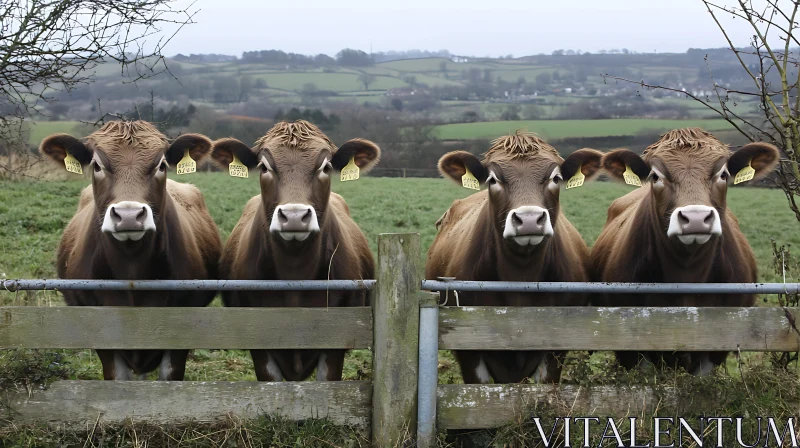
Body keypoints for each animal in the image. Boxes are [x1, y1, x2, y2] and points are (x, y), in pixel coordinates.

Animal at [424, 131, 600, 384]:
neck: (520, 277)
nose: (529, 219)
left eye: (556, 178)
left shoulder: (555, 350)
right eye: (492, 180)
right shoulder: (468, 350)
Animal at [592, 127, 780, 374]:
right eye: (655, 176)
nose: (696, 218)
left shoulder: (715, 348)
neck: (686, 275)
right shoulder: (632, 349)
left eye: (723, 174)